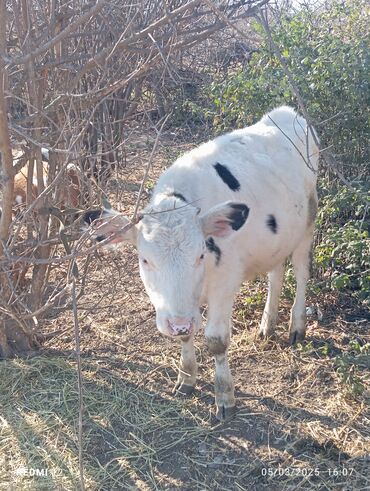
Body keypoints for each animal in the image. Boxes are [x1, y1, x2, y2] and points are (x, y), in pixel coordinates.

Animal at [85, 105, 320, 420]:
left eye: (200, 254)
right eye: (145, 260)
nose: (178, 323)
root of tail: (285, 112)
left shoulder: (225, 283)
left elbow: (216, 340)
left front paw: (225, 396)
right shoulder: (180, 307)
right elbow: (187, 337)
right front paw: (187, 378)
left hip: (308, 223)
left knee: (303, 274)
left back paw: (297, 326)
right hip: (278, 237)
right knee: (276, 274)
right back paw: (267, 324)